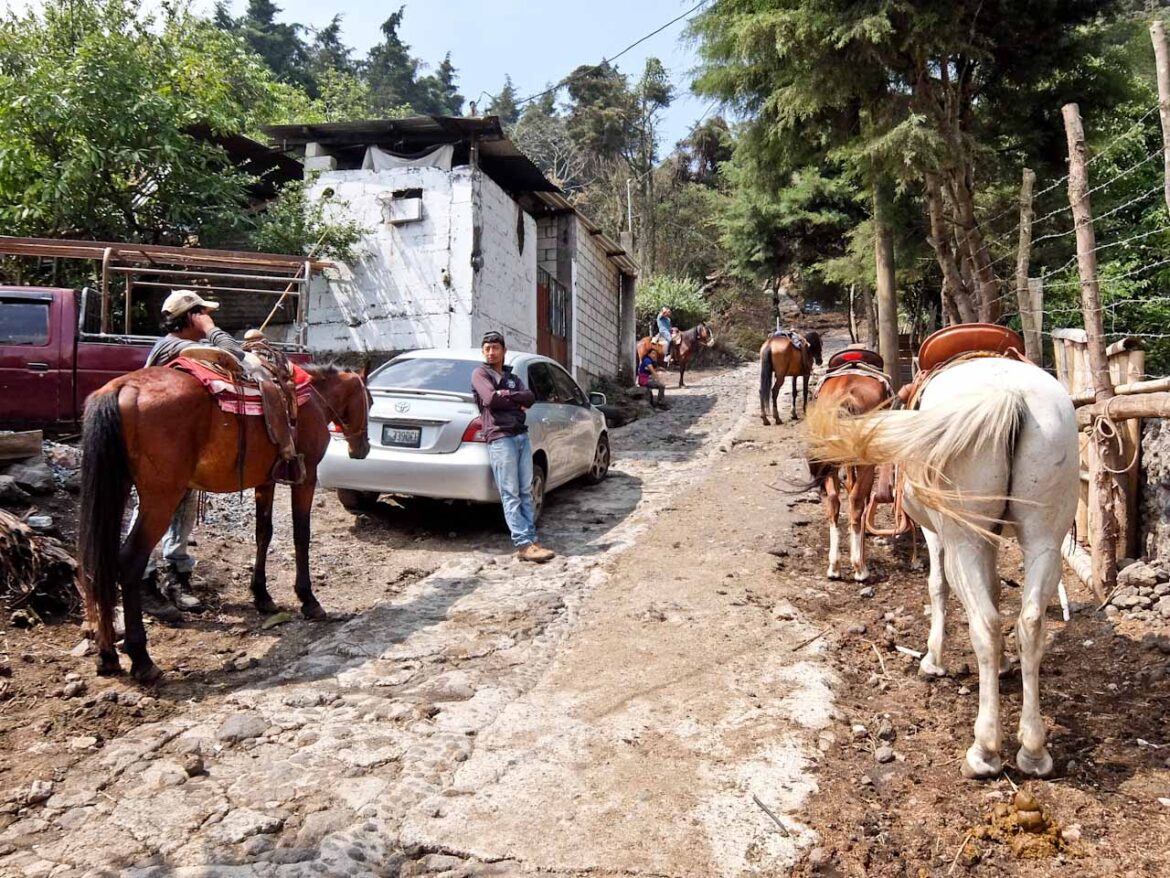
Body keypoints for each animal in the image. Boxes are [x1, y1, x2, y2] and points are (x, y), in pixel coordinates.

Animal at [77, 346, 367, 683]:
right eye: (369, 400)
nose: (362, 449)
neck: (312, 398)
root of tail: (122, 388)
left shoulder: (266, 481)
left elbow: (263, 533)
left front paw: (262, 596)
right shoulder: (305, 480)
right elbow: (301, 535)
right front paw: (309, 600)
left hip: (117, 488)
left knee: (101, 562)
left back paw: (107, 655)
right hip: (160, 499)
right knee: (130, 562)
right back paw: (141, 659)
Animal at [814, 358, 1076, 782]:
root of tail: (1009, 394)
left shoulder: (937, 533)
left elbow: (937, 587)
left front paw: (933, 660)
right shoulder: (988, 535)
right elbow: (995, 589)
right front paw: (1004, 666)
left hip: (961, 540)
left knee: (984, 623)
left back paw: (985, 751)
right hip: (1044, 539)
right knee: (1030, 623)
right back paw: (1034, 751)